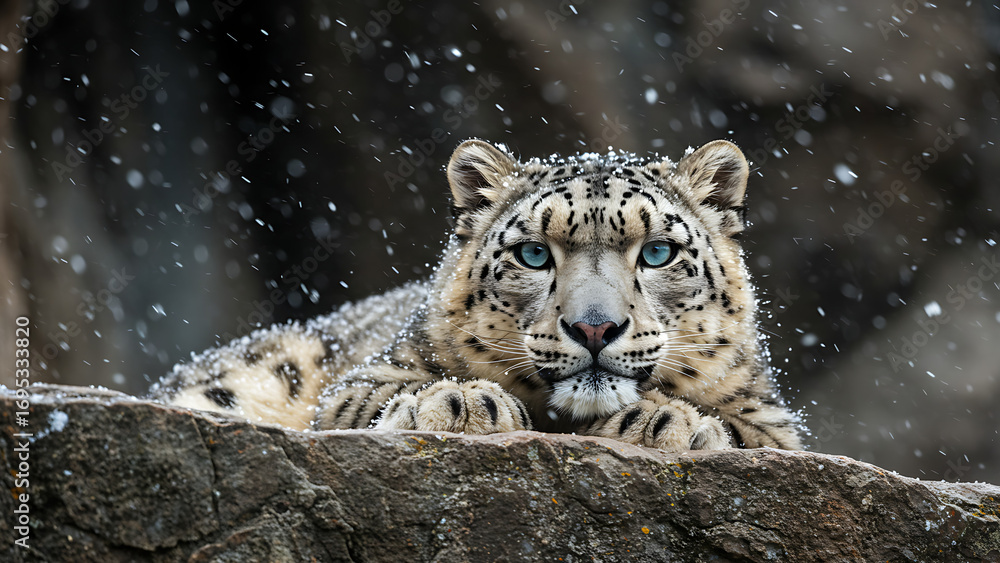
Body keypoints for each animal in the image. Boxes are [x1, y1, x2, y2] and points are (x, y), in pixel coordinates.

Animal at [149, 139, 803, 451]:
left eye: (659, 252)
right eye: (534, 254)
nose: (594, 327)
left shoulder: (771, 417)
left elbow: (747, 433)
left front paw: (668, 421)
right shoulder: (365, 377)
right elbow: (368, 399)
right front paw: (460, 403)